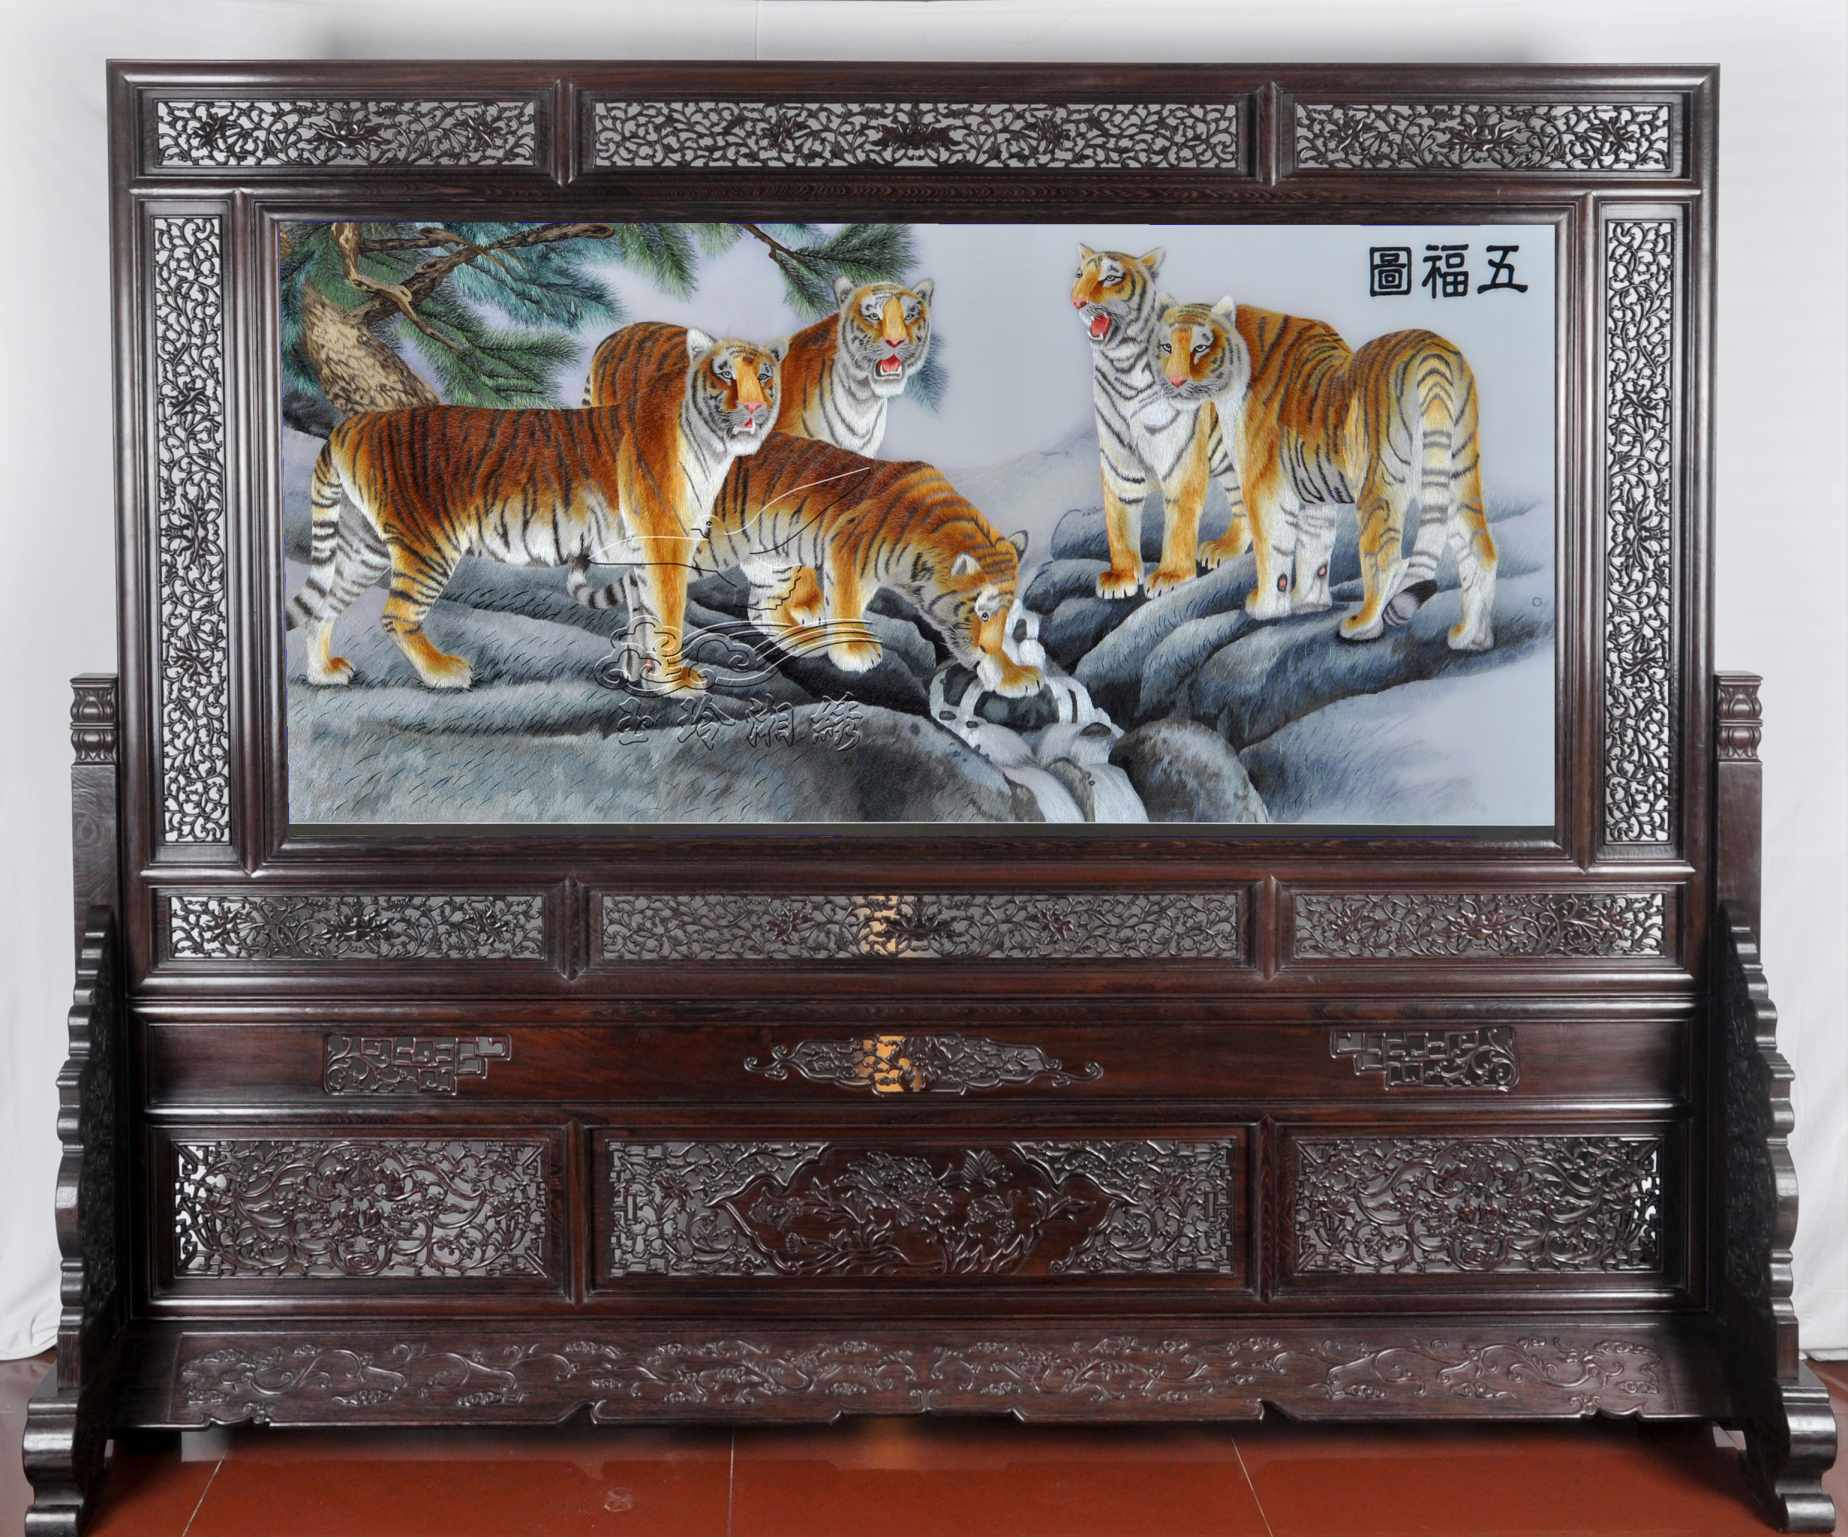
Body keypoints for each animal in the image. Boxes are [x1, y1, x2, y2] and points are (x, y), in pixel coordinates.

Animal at [285, 327, 787, 693]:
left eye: (765, 376)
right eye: (725, 374)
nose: (752, 407)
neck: (713, 445)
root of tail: (355, 424)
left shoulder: (646, 552)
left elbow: (643, 616)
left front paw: (645, 679)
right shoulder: (666, 544)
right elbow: (667, 615)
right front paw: (676, 681)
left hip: (365, 545)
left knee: (325, 605)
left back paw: (323, 673)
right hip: (427, 545)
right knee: (397, 616)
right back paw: (445, 673)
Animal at [574, 432, 1041, 698]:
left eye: (1006, 616)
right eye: (982, 613)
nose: (986, 646)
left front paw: (1013, 674)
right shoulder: (847, 551)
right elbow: (848, 605)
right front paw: (855, 653)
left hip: (771, 559)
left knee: (756, 609)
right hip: (702, 549)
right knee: (646, 588)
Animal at [1069, 244, 1249, 600]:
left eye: (1110, 278)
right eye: (1080, 275)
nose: (1077, 301)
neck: (1122, 366)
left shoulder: (1182, 461)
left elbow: (1179, 524)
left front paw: (1171, 576)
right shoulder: (1118, 465)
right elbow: (1119, 523)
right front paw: (1122, 577)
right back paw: (1224, 548)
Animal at [1146, 296, 1497, 650]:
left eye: (1200, 348)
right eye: (1166, 346)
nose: (1174, 382)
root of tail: (1432, 353)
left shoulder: (1263, 486)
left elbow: (1273, 547)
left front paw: (1265, 607)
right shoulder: (1314, 494)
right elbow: (1314, 550)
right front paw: (1308, 602)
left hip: (1378, 484)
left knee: (1386, 561)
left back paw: (1361, 625)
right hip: (1458, 473)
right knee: (1481, 553)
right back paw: (1471, 637)